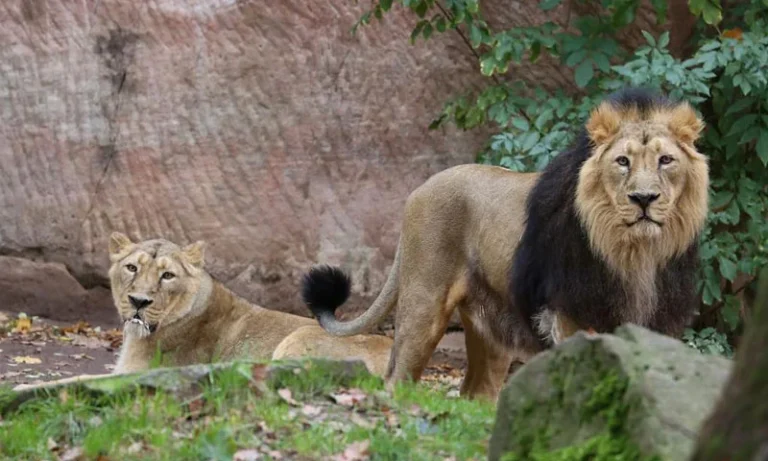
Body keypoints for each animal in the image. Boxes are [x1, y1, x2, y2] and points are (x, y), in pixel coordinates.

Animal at [301, 88, 709, 401]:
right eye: (622, 161)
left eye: (666, 160)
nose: (644, 198)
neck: (636, 253)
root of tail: (420, 189)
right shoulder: (569, 318)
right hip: (423, 304)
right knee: (396, 376)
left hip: (490, 331)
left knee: (475, 393)